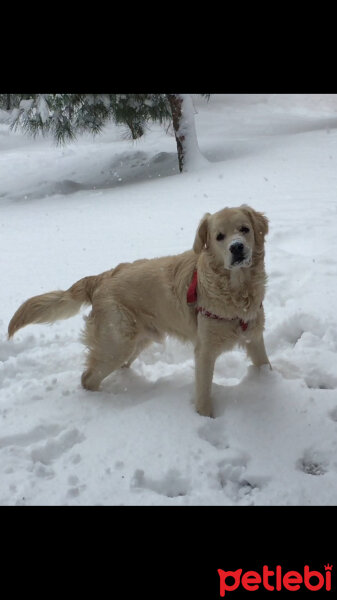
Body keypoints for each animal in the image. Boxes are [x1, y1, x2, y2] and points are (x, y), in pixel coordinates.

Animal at [7, 206, 270, 418]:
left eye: (244, 229)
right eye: (219, 237)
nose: (237, 248)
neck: (237, 291)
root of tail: (101, 278)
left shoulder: (254, 337)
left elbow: (264, 365)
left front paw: (269, 383)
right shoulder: (204, 351)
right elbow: (204, 393)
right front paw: (206, 418)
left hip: (134, 342)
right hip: (117, 344)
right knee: (87, 379)